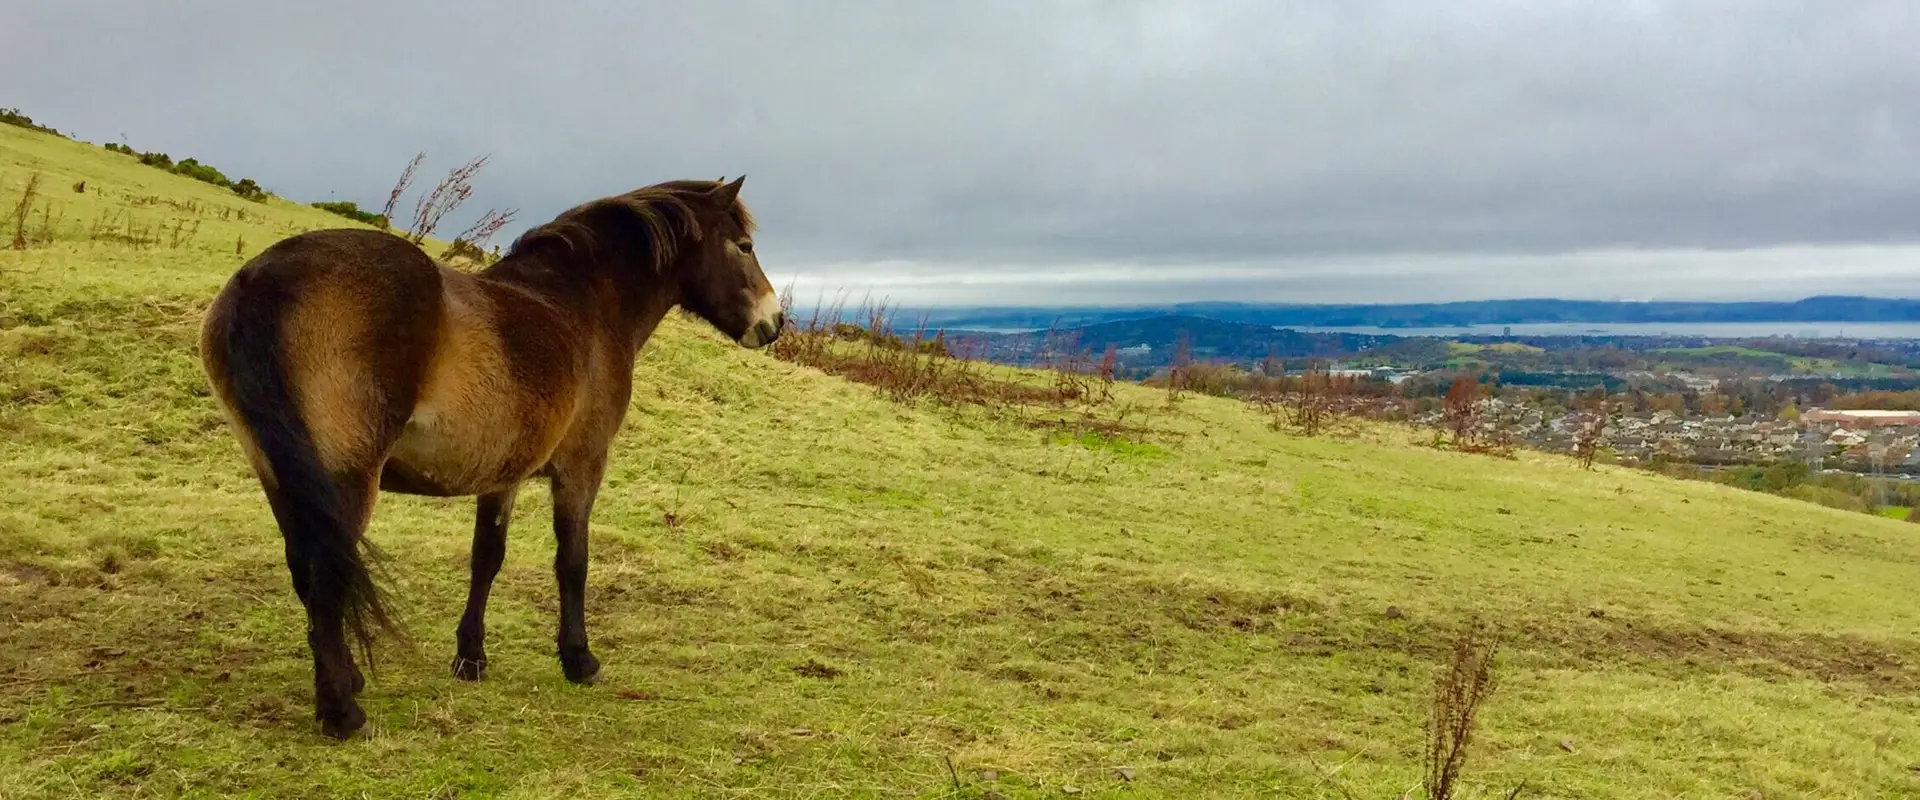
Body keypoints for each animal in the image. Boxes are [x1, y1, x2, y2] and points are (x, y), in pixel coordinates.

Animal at [196, 176, 783, 740]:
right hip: (345, 481)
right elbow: (572, 562)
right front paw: (579, 659)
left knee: (307, 571)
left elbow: (487, 558)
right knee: (325, 576)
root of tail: (263, 281)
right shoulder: (581, 467)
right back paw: (343, 712)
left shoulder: (504, 474)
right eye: (745, 246)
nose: (774, 323)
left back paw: (347, 680)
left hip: (281, 478)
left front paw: (470, 657)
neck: (583, 306)